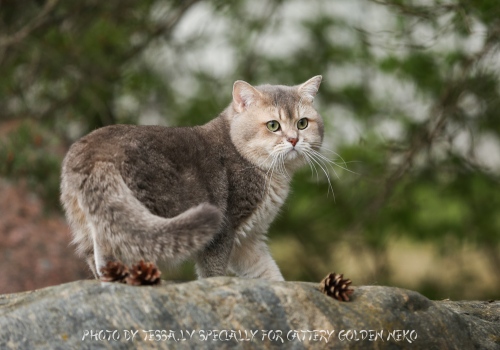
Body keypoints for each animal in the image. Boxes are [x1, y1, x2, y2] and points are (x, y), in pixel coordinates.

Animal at [60, 75, 324, 280]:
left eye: (302, 123)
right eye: (273, 125)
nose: (294, 139)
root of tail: (94, 151)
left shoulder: (249, 242)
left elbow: (268, 273)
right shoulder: (223, 233)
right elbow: (214, 273)